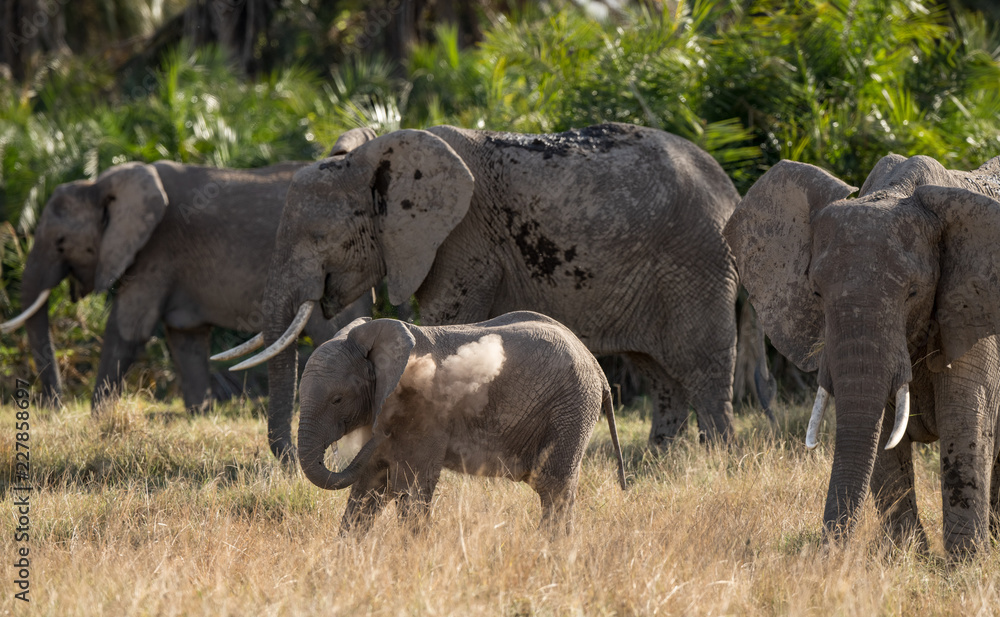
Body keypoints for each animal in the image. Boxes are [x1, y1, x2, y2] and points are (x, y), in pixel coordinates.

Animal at [0, 129, 376, 413]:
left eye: (61, 242)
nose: (55, 408)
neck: (102, 184)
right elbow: (185, 338)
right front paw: (200, 415)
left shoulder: (156, 250)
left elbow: (128, 329)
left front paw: (96, 419)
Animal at [222, 122, 745, 460]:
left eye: (318, 237)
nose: (290, 460)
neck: (377, 158)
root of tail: (729, 187)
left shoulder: (463, 241)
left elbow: (442, 323)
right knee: (660, 374)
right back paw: (657, 465)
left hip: (697, 260)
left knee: (702, 367)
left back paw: (715, 462)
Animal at [296, 311, 627, 534]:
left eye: (337, 399)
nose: (378, 433)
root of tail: (597, 367)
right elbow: (368, 486)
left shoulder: (423, 412)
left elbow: (409, 487)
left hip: (570, 408)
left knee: (553, 487)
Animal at [724, 152, 1000, 558]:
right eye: (816, 292)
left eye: (913, 292)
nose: (824, 557)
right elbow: (881, 444)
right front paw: (907, 559)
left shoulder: (972, 311)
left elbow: (966, 425)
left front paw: (964, 565)